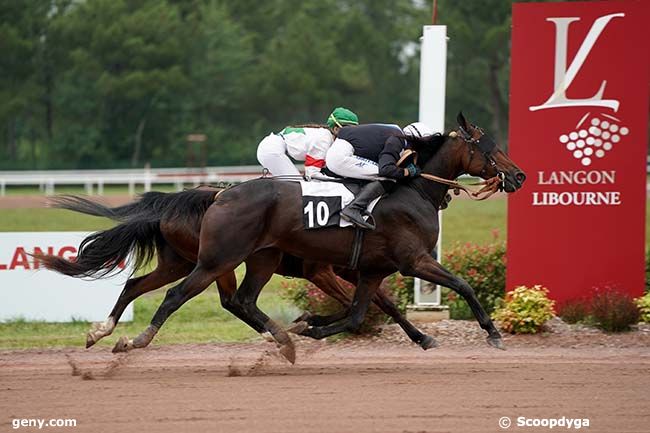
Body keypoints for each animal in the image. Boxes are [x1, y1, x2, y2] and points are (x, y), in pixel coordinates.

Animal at [104, 111, 520, 358]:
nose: (518, 176)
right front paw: (493, 333)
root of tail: (220, 194)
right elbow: (462, 286)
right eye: (490, 147)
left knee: (229, 299)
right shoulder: (410, 261)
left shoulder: (370, 269)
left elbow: (365, 311)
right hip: (216, 259)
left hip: (236, 259)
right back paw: (134, 339)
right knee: (179, 296)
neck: (413, 189)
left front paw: (310, 324)